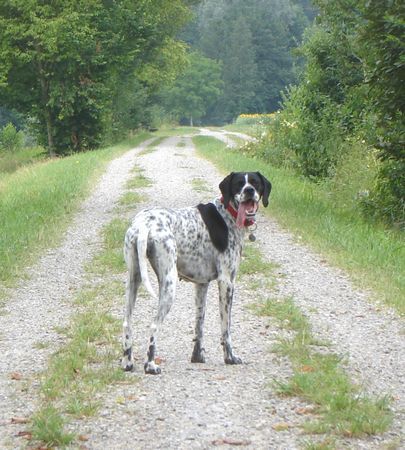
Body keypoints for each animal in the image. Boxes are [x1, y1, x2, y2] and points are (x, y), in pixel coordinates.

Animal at [120, 171, 272, 374]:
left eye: (255, 183)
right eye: (239, 184)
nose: (249, 191)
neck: (228, 214)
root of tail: (144, 223)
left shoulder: (201, 284)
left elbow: (199, 324)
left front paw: (197, 357)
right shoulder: (226, 282)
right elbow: (226, 327)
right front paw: (230, 357)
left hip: (133, 280)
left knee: (127, 323)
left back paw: (127, 362)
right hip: (168, 286)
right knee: (153, 326)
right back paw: (151, 365)